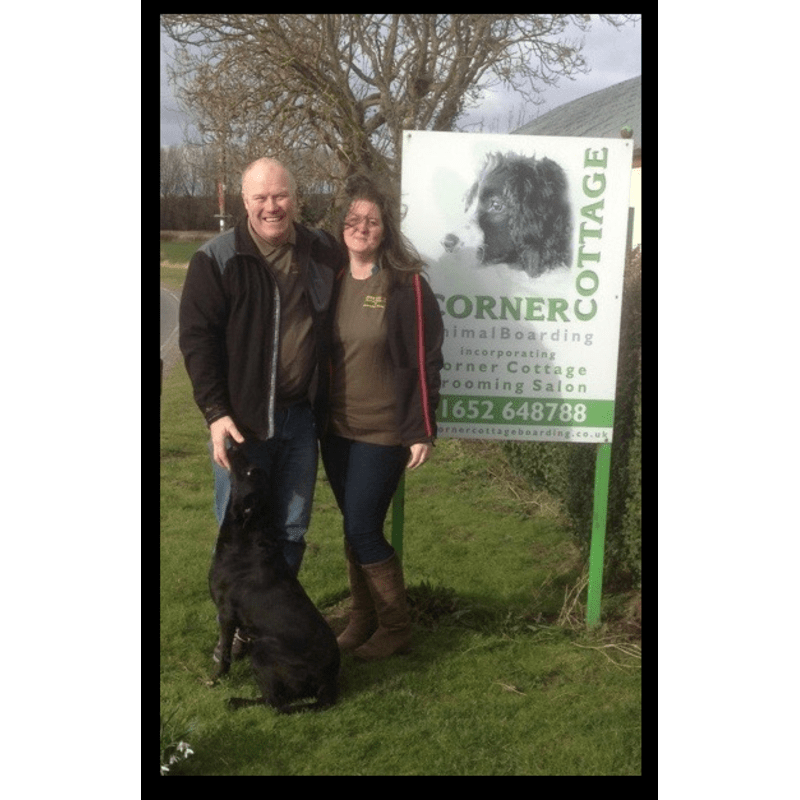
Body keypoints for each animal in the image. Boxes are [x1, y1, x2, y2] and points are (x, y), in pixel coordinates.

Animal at [208, 446, 340, 716]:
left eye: (250, 472)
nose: (234, 445)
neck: (249, 535)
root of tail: (328, 679)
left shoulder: (226, 613)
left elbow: (225, 653)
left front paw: (218, 678)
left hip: (262, 651)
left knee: (275, 703)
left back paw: (237, 702)